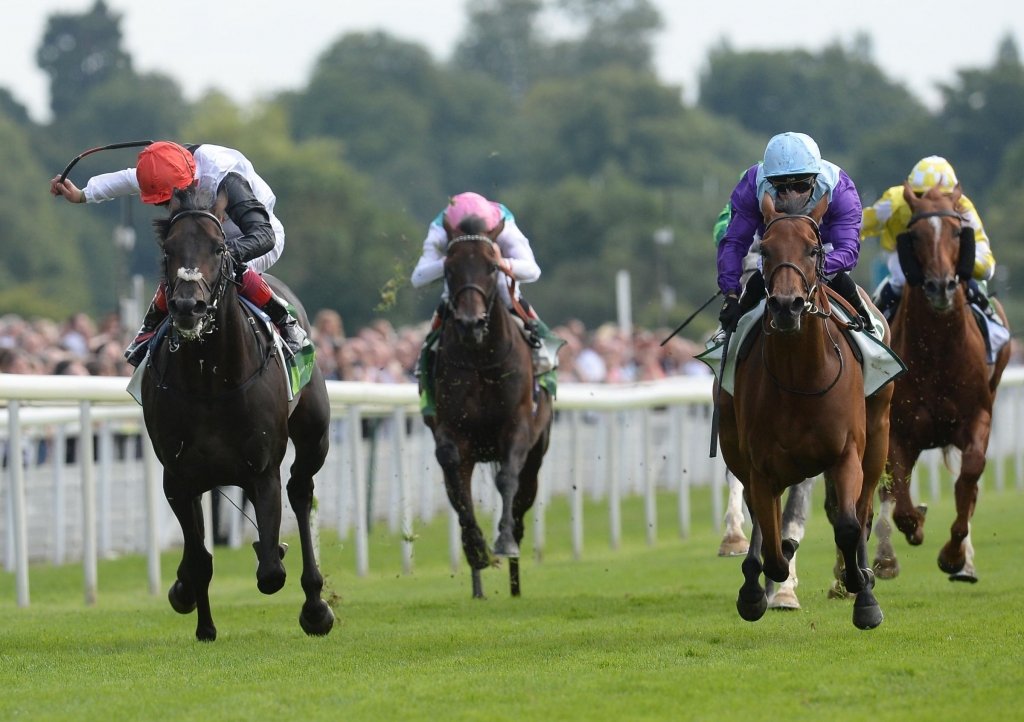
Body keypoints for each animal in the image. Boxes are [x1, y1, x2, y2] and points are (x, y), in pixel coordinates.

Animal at [140, 183, 329, 639]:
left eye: (219, 246)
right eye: (169, 249)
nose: (187, 306)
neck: (209, 382)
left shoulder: (262, 470)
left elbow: (271, 573)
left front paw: (274, 552)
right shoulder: (178, 476)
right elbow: (198, 560)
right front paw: (198, 615)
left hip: (314, 436)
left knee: (301, 492)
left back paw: (316, 605)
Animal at [716, 194, 892, 626]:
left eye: (814, 250)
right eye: (766, 250)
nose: (786, 305)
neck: (802, 379)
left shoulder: (846, 452)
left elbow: (848, 525)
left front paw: (861, 590)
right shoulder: (761, 465)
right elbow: (772, 542)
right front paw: (761, 585)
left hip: (878, 435)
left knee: (863, 510)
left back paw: (863, 576)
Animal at [872, 184, 1007, 581]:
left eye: (958, 232)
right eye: (914, 235)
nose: (941, 287)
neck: (937, 354)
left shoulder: (977, 417)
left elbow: (970, 478)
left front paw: (954, 554)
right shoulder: (900, 430)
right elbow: (899, 500)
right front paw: (913, 526)